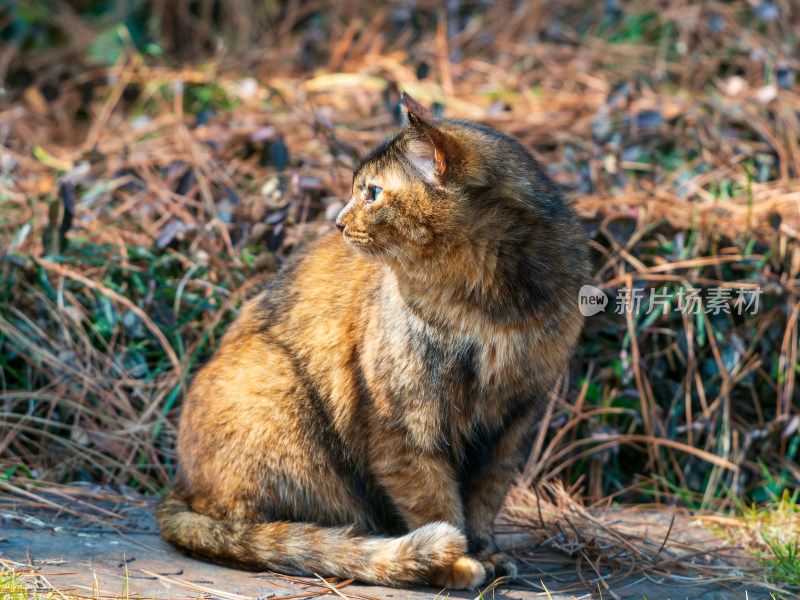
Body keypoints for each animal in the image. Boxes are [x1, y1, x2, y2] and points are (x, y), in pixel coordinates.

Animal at [159, 94, 592, 592]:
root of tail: (179, 487)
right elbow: (435, 503)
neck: (485, 306)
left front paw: (485, 554)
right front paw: (457, 563)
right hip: (275, 390)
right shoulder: (402, 421)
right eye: (360, 190)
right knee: (253, 526)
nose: (337, 222)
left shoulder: (511, 423)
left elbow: (485, 499)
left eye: (372, 192)